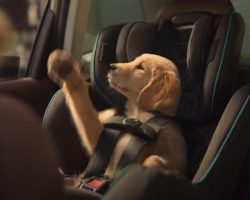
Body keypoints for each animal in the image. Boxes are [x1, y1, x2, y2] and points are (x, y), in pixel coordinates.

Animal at [47, 50, 187, 179]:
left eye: (140, 67)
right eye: (134, 60)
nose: (111, 66)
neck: (137, 117)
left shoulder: (175, 159)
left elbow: (154, 159)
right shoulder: (102, 140)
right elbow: (82, 104)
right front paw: (64, 68)